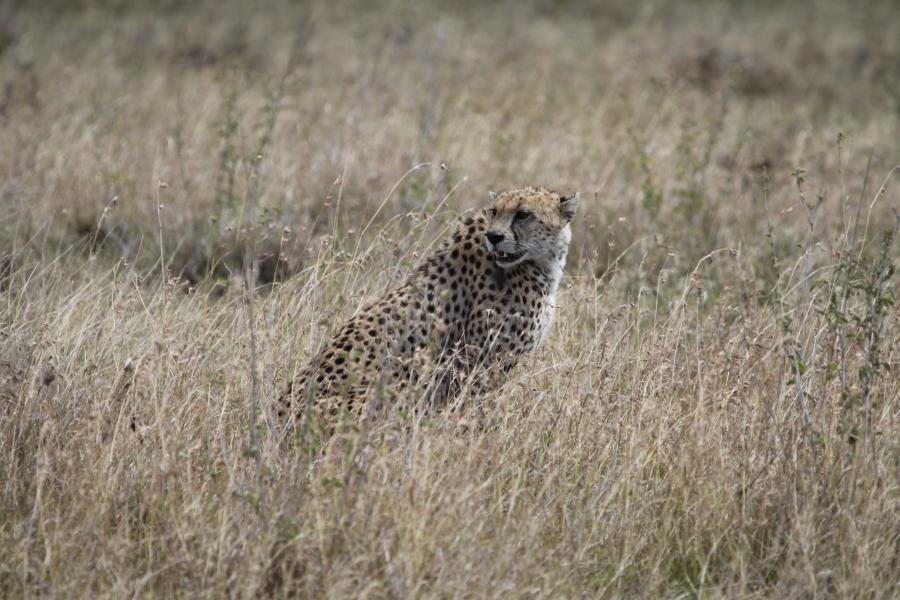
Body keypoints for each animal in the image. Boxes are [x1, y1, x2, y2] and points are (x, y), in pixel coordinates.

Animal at [277, 186, 579, 426]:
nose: (494, 236)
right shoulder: (477, 363)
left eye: (524, 214)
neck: (539, 261)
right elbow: (477, 407)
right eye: (495, 211)